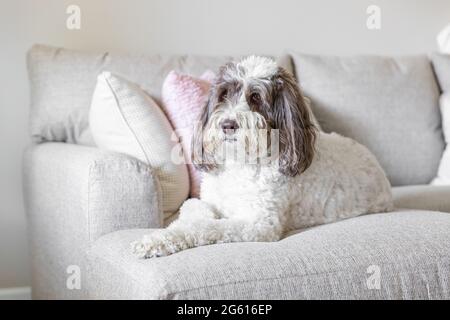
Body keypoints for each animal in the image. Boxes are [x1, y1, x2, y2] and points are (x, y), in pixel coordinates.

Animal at [132, 56, 392, 258]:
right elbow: (193, 209)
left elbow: (206, 227)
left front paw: (157, 240)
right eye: (224, 94)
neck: (241, 164)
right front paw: (162, 235)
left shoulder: (259, 224)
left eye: (256, 97)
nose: (227, 125)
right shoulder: (207, 201)